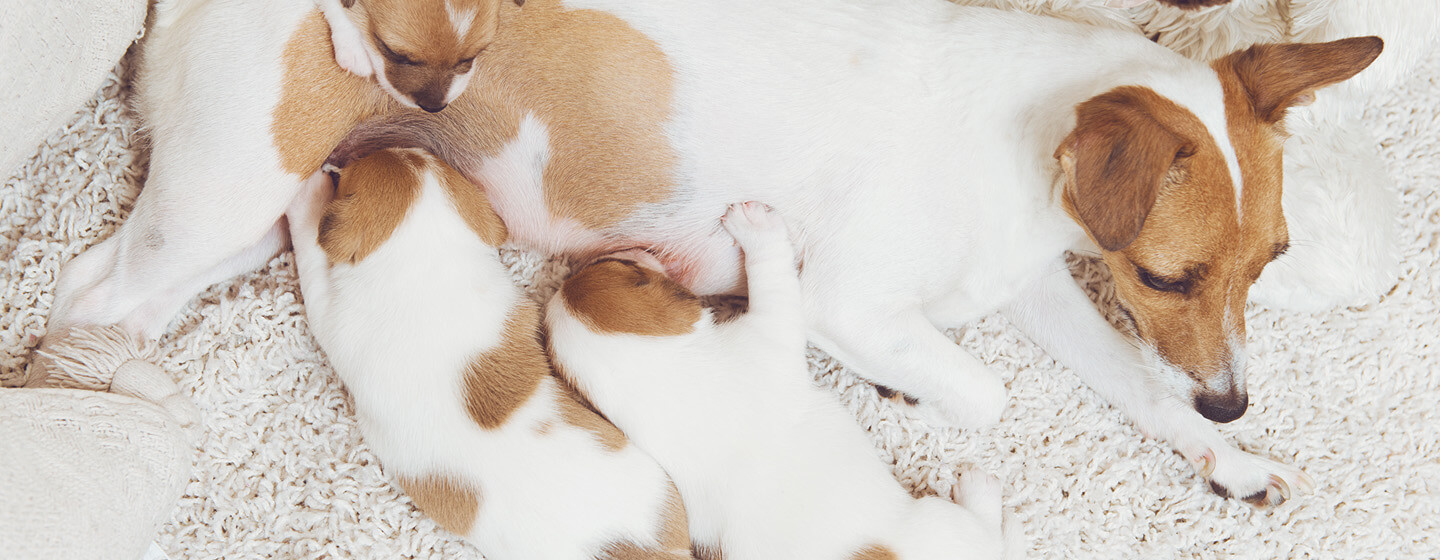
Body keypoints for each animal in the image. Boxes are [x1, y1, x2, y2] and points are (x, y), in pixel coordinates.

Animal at [39, 0, 1376, 506]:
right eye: (1167, 274)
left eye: (1274, 258)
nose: (1237, 394)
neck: (1025, 144)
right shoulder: (856, 299)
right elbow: (986, 392)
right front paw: (907, 388)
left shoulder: (1042, 286)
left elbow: (1139, 388)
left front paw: (1222, 453)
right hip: (227, 191)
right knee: (93, 291)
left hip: (259, 212)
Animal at [544, 200, 1008, 558]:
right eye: (624, 265)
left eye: (610, 262)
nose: (624, 248)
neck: (660, 382)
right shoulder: (772, 329)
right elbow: (772, 275)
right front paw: (757, 228)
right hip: (945, 524)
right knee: (992, 537)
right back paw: (980, 490)